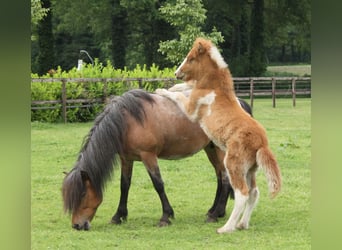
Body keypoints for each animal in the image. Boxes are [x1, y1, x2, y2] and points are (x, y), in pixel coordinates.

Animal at [62, 88, 251, 230]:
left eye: (82, 194)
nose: (76, 225)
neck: (126, 121)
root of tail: (237, 101)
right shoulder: (126, 159)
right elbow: (125, 186)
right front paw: (118, 216)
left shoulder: (148, 156)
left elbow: (158, 184)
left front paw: (166, 217)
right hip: (210, 148)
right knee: (220, 177)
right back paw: (214, 211)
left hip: (219, 149)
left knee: (225, 179)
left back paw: (215, 215)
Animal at [156, 37, 282, 234]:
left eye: (190, 58)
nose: (177, 73)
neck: (214, 87)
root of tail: (262, 144)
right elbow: (188, 85)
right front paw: (174, 85)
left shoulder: (191, 110)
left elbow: (179, 97)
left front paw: (162, 90)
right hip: (250, 169)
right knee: (253, 192)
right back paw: (242, 224)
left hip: (233, 164)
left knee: (242, 194)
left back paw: (226, 227)